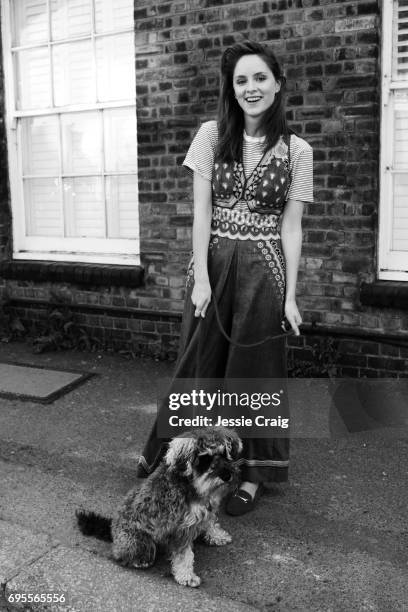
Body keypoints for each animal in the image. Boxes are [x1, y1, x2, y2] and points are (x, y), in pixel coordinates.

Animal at [76, 428, 241, 584]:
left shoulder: (207, 510)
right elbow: (184, 555)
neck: (191, 483)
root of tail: (112, 529)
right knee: (122, 554)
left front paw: (217, 535)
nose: (227, 476)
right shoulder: (181, 529)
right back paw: (139, 561)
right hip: (139, 541)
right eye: (205, 458)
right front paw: (186, 576)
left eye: (224, 453)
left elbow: (210, 523)